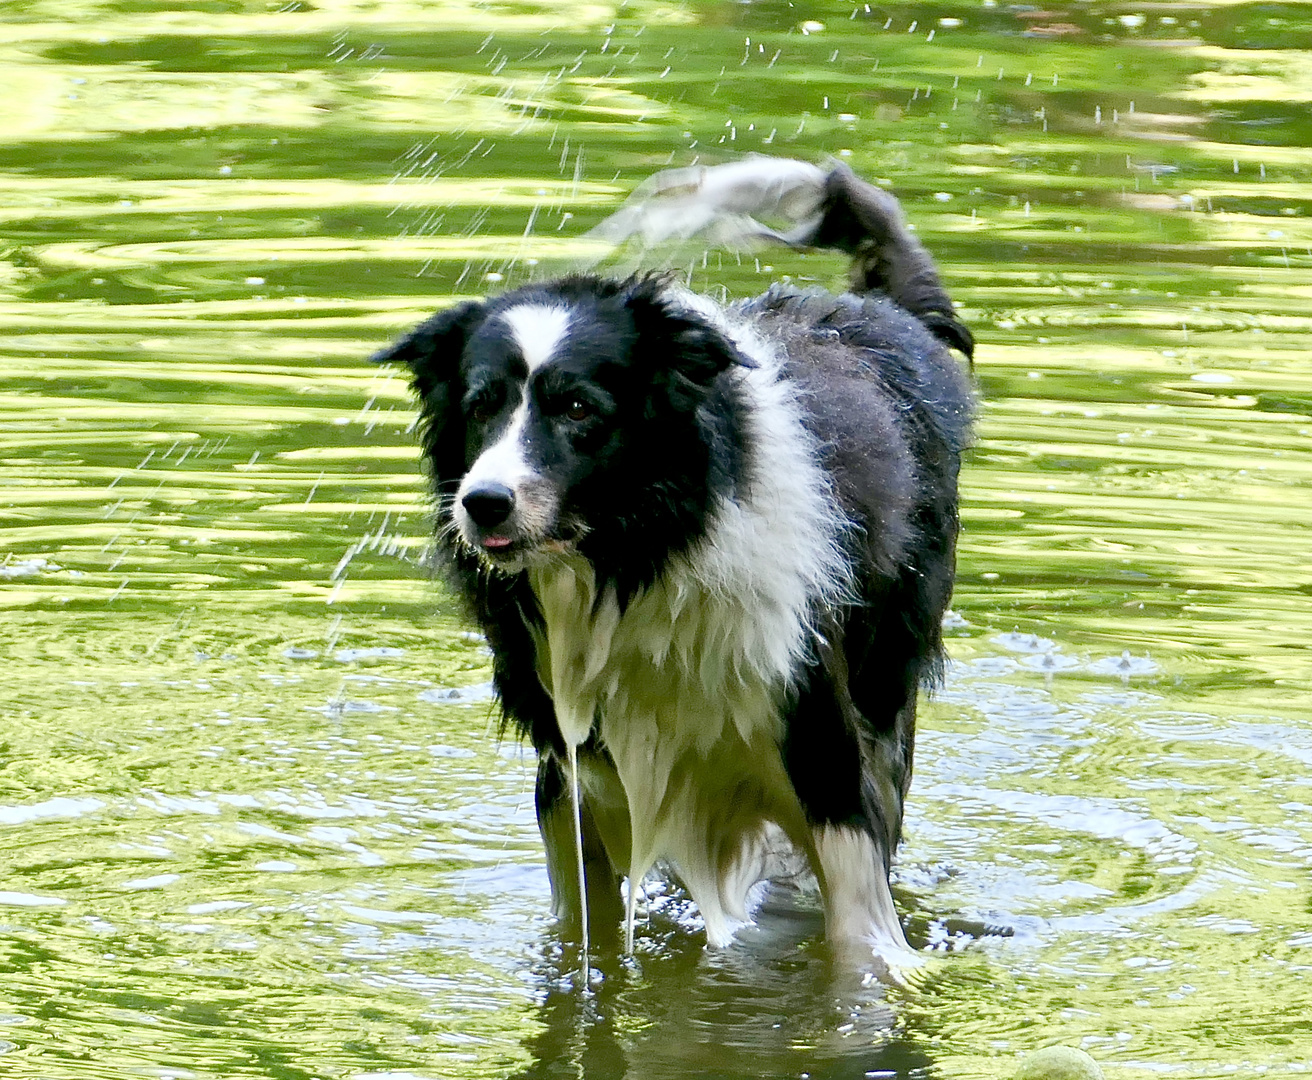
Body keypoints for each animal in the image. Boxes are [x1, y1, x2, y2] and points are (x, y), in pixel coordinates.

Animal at [375, 160, 970, 981]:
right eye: (482, 404)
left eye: (578, 408)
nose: (483, 503)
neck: (639, 561)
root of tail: (880, 310)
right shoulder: (574, 772)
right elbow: (581, 934)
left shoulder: (821, 750)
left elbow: (859, 944)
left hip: (885, 687)